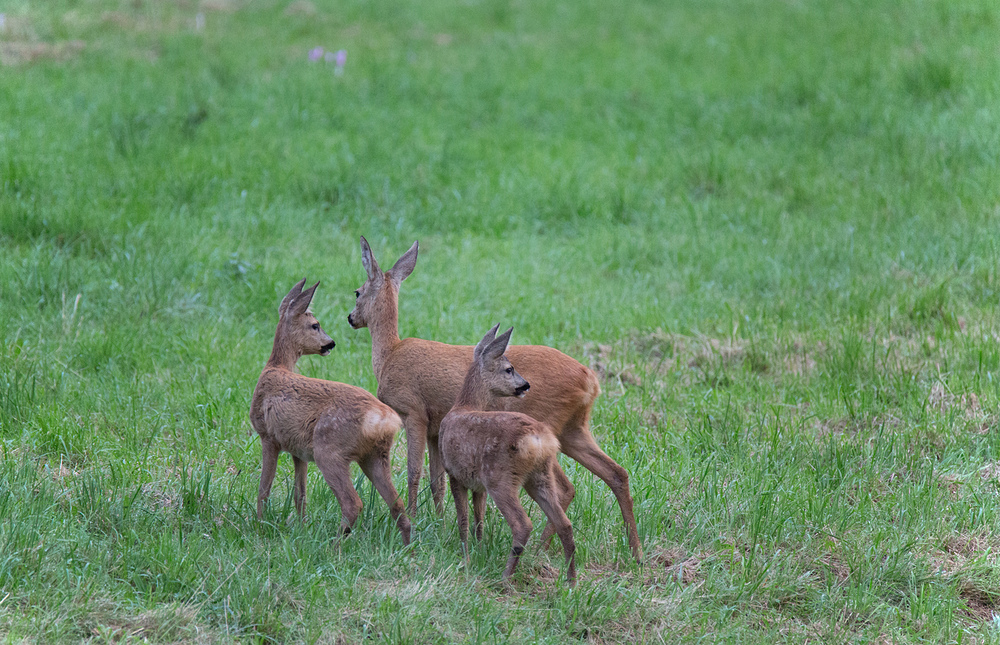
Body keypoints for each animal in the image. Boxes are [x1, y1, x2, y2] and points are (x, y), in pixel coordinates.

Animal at [254, 276, 410, 544]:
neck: (274, 368)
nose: (331, 343)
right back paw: (408, 547)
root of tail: (383, 418)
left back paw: (333, 545)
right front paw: (301, 528)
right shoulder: (298, 451)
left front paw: (259, 527)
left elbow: (264, 489)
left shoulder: (269, 436)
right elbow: (300, 494)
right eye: (315, 325)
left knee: (353, 502)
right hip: (374, 455)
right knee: (397, 504)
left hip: (329, 450)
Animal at [442, 324, 576, 580]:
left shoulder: (454, 473)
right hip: (539, 476)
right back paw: (570, 581)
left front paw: (465, 556)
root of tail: (539, 440)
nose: (525, 385)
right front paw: (479, 550)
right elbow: (479, 519)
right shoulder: (478, 485)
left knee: (523, 524)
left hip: (500, 477)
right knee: (564, 523)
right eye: (509, 369)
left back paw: (505, 578)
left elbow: (463, 518)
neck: (462, 406)